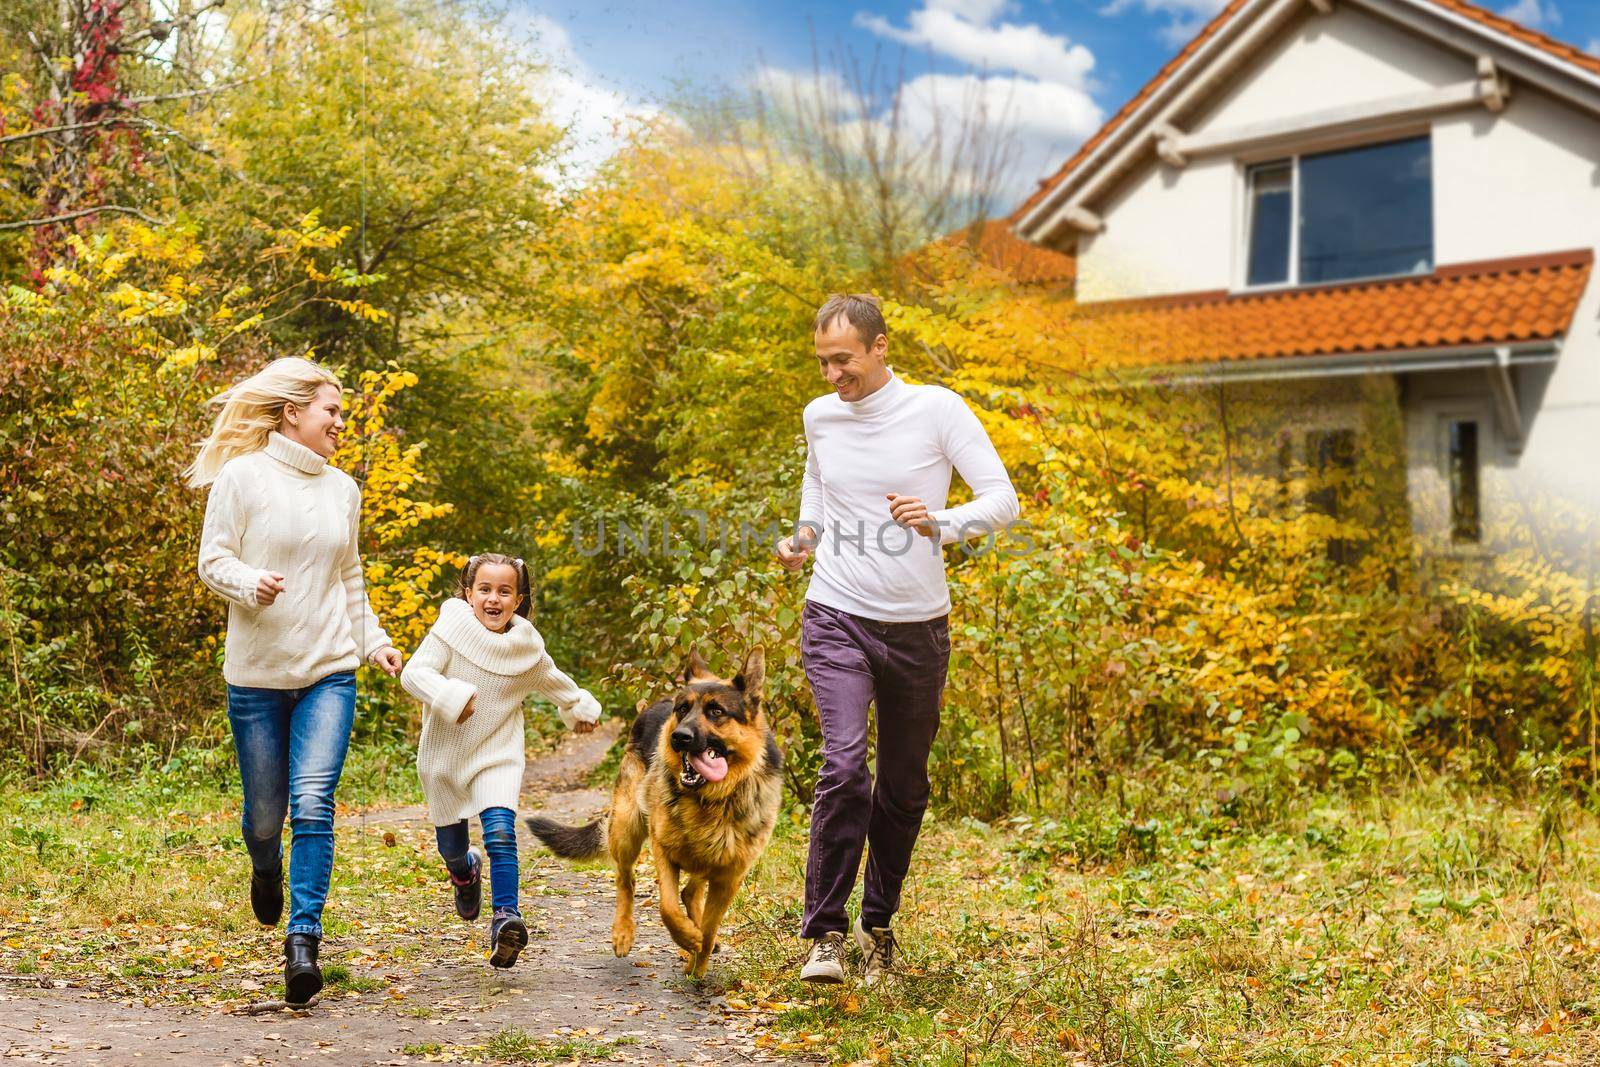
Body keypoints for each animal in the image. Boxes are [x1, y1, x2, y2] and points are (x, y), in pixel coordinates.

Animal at [524, 646, 780, 979]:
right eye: (683, 709)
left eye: (717, 712)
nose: (679, 737)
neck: (711, 800)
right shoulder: (663, 849)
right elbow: (667, 907)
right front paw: (687, 939)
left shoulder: (730, 875)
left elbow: (710, 925)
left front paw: (698, 962)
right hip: (626, 827)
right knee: (626, 879)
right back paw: (623, 932)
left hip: (703, 856)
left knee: (690, 892)